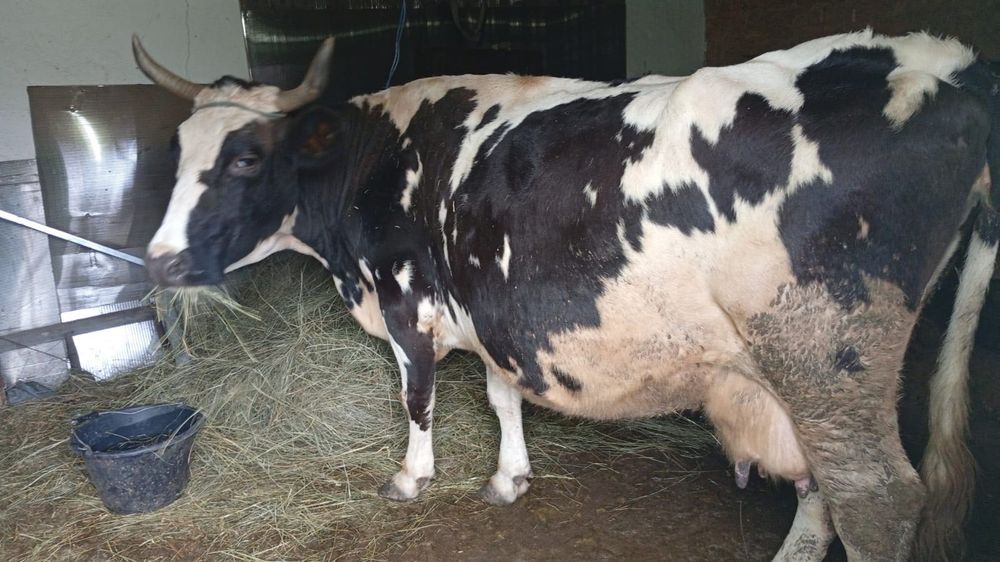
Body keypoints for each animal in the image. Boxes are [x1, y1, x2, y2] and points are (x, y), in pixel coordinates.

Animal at [133, 29, 999, 561]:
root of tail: (945, 64)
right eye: (176, 150)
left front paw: (412, 478)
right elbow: (501, 394)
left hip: (826, 354)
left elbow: (418, 397)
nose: (160, 262)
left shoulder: (406, 301)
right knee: (825, 482)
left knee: (876, 496)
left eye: (246, 157)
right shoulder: (488, 303)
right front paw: (508, 478)